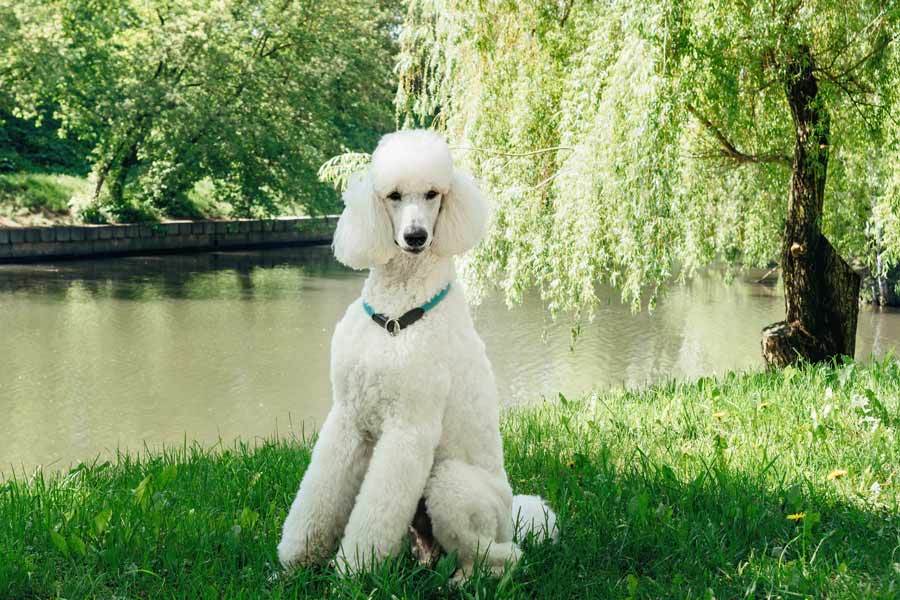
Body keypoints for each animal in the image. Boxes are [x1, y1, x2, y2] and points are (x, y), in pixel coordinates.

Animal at [278, 130, 556, 576]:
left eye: (432, 194)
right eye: (393, 195)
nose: (415, 237)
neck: (396, 314)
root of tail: (512, 515)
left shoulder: (408, 428)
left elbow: (376, 510)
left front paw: (354, 569)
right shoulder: (348, 416)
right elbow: (318, 493)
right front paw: (297, 559)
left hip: (450, 483)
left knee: (500, 556)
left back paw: (463, 579)